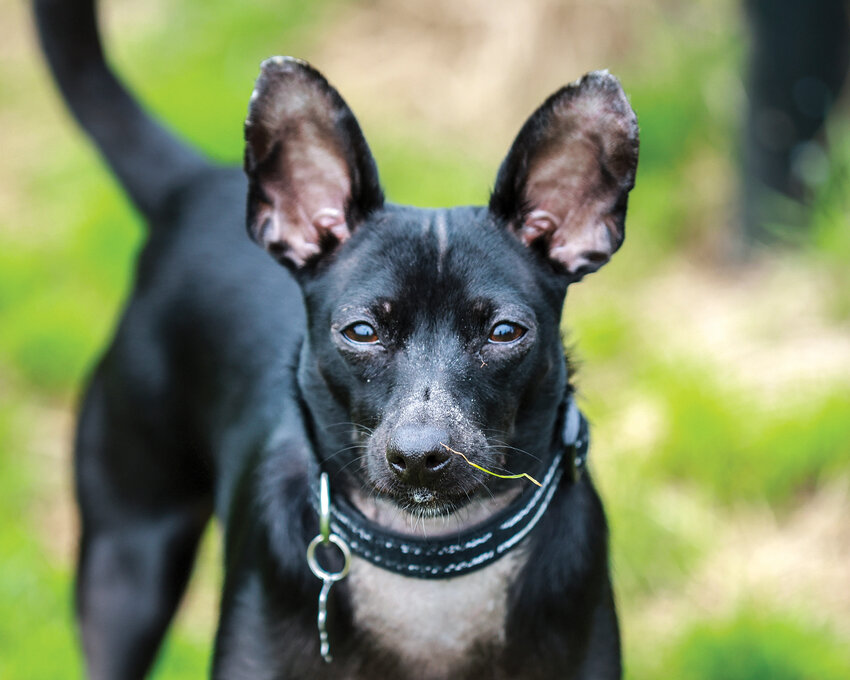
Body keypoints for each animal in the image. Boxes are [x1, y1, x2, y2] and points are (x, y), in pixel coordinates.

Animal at [36, 1, 640, 680]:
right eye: (362, 331)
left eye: (505, 332)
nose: (421, 454)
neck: (428, 573)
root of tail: (196, 188)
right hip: (126, 564)